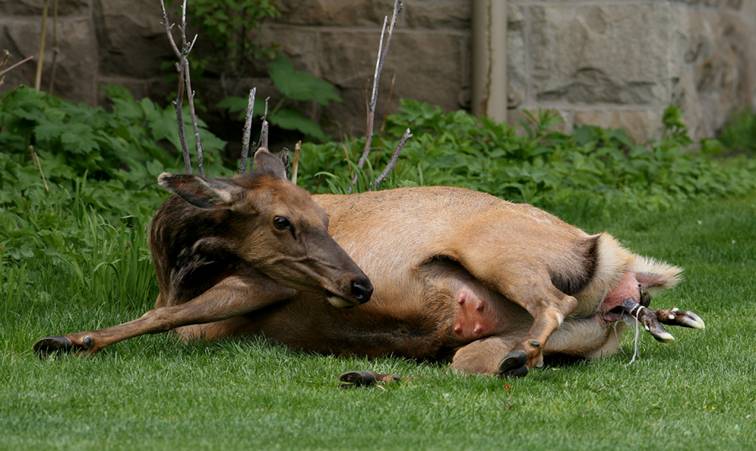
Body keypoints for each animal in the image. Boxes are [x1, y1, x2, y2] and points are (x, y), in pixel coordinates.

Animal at [34, 149, 704, 378]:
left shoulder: (261, 285)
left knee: (553, 302)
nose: (357, 284)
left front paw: (67, 339)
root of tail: (626, 282)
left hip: (500, 253)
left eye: (322, 217)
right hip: (502, 344)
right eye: (282, 221)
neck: (173, 267)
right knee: (483, 360)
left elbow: (156, 322)